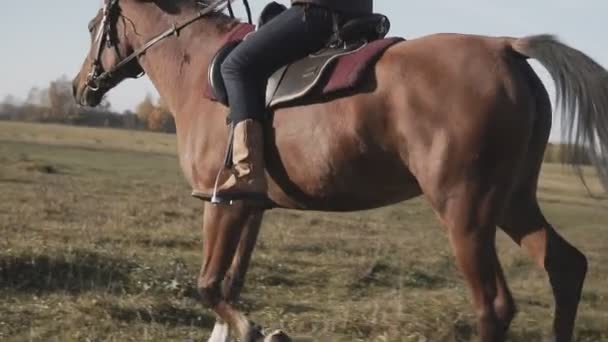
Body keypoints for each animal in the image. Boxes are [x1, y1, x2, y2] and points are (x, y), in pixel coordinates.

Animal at [72, 0, 608, 342]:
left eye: (93, 24)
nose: (81, 88)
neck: (200, 69)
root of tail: (505, 46)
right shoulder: (250, 206)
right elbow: (230, 283)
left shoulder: (219, 202)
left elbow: (208, 284)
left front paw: (255, 329)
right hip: (513, 201)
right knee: (566, 267)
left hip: (466, 213)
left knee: (494, 308)